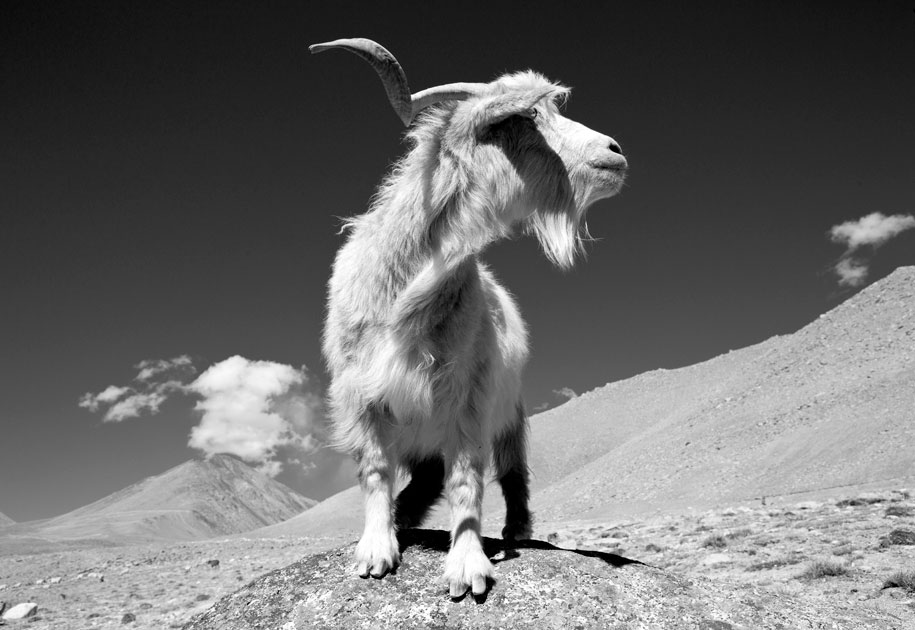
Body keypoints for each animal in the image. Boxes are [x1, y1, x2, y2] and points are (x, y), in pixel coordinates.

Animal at [312, 37, 628, 600]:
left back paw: (515, 530)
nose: (615, 151)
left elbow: (467, 478)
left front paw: (467, 566)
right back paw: (404, 518)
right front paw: (375, 550)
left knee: (512, 472)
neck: (406, 287)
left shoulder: (468, 395)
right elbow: (374, 469)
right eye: (525, 118)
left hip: (512, 414)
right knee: (424, 479)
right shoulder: (359, 392)